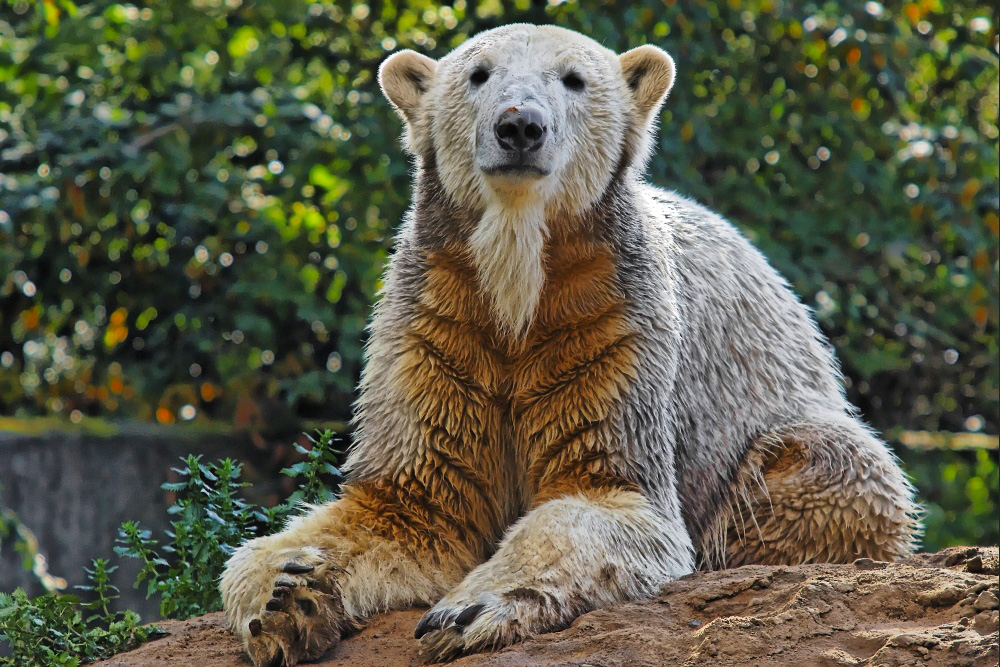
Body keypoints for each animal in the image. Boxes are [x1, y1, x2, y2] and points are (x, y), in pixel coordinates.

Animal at [221, 23, 920, 664]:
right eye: (479, 74)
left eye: (574, 79)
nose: (520, 126)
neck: (518, 279)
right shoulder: (438, 319)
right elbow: (412, 503)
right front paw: (288, 597)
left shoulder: (610, 318)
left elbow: (603, 494)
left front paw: (466, 610)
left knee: (831, 469)